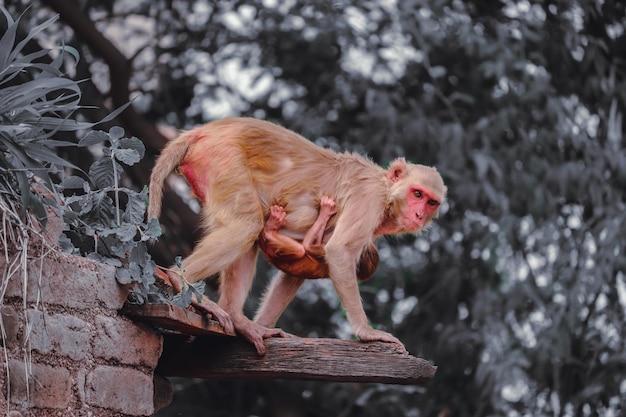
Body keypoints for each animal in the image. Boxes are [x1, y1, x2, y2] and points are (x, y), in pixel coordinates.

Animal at [149, 117, 446, 354]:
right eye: (416, 193)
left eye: (431, 201)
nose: (419, 214)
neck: (386, 192)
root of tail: (203, 131)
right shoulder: (368, 198)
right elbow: (338, 251)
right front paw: (367, 332)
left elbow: (298, 268)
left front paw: (262, 325)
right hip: (222, 159)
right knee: (247, 224)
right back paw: (179, 278)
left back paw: (240, 321)